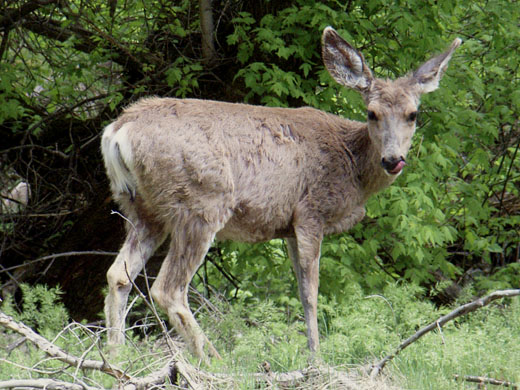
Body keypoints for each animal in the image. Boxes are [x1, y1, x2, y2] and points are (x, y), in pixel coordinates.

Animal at [102, 25, 464, 358]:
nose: (392, 159)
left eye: (412, 114)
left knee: (118, 274)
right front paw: (317, 358)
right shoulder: (310, 211)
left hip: (142, 209)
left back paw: (116, 357)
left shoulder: (288, 226)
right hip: (201, 203)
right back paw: (214, 360)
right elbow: (311, 292)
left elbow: (301, 291)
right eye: (371, 113)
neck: (352, 166)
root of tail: (119, 130)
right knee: (168, 289)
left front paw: (310, 352)